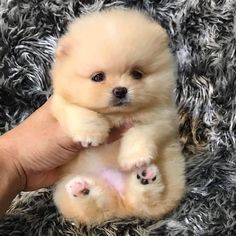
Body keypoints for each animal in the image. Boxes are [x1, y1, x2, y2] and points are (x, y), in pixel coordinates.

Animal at [50, 7, 185, 225]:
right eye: (98, 77)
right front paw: (90, 134)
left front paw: (134, 158)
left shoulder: (162, 116)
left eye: (137, 74)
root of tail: (122, 206)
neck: (117, 115)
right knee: (92, 207)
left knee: (152, 200)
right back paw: (82, 189)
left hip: (172, 177)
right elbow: (78, 110)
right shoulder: (60, 102)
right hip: (71, 191)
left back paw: (146, 177)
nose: (120, 90)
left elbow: (141, 131)